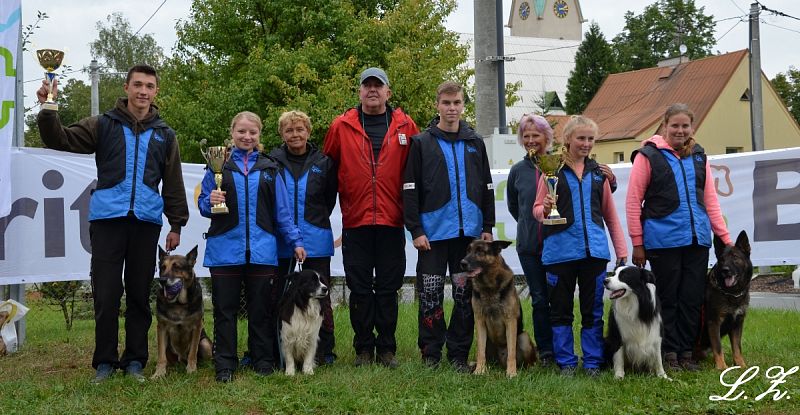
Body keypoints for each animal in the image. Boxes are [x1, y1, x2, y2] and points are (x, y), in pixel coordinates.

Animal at [150, 247, 212, 380]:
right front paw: (159, 373)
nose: (162, 281)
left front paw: (191, 369)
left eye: (176, 267)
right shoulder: (161, 328)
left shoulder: (197, 327)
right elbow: (161, 356)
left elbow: (193, 352)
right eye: (163, 267)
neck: (178, 304)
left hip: (205, 343)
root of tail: (181, 359)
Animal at [456, 239, 536, 378]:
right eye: (468, 250)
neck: (489, 286)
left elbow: (511, 352)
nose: (462, 263)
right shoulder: (479, 321)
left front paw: (511, 373)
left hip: (524, 337)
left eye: (480, 251)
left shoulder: (510, 321)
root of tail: (499, 362)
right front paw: (479, 371)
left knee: (526, 360)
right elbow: (480, 352)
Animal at [696, 231, 752, 370]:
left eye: (735, 257)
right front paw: (721, 367)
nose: (725, 270)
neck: (731, 293)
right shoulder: (714, 323)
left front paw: (741, 365)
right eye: (721, 259)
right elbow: (718, 347)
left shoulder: (737, 324)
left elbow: (737, 348)